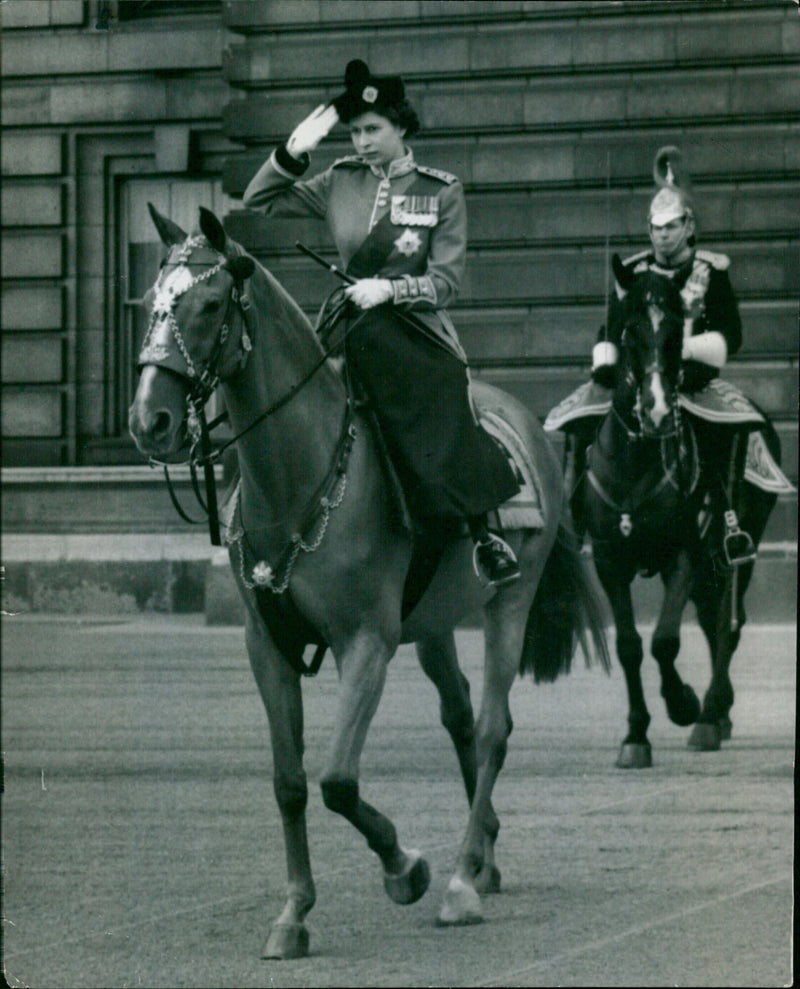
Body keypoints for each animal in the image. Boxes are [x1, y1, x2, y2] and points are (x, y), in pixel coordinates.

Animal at [128, 206, 608, 956]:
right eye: (152, 301)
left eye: (208, 305)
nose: (150, 420)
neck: (298, 474)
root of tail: (523, 420)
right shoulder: (267, 647)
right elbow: (291, 782)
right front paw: (294, 911)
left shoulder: (366, 644)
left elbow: (338, 779)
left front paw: (404, 867)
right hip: (434, 621)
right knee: (461, 717)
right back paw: (484, 854)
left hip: (510, 602)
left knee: (493, 728)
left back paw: (462, 881)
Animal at [556, 253, 780, 764]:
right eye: (627, 333)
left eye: (677, 334)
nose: (657, 412)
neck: (634, 462)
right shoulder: (609, 559)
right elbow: (629, 646)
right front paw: (636, 735)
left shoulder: (685, 554)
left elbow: (664, 641)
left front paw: (683, 704)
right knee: (712, 617)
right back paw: (720, 713)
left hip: (738, 548)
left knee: (727, 624)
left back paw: (710, 714)